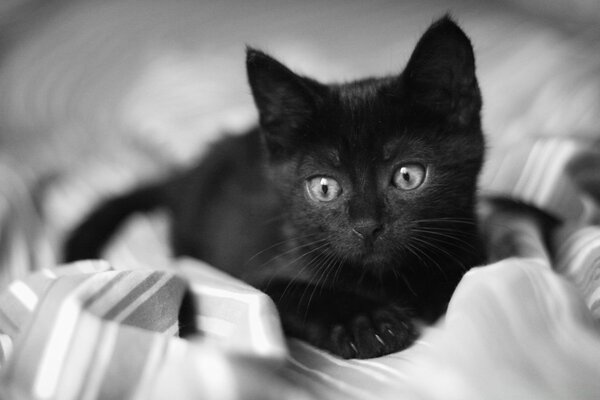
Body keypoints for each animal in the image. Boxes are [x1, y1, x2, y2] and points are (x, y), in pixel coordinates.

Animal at [64, 16, 488, 360]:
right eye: (324, 187)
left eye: (407, 176)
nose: (367, 226)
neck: (387, 281)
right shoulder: (247, 274)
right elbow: (293, 292)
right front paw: (365, 321)